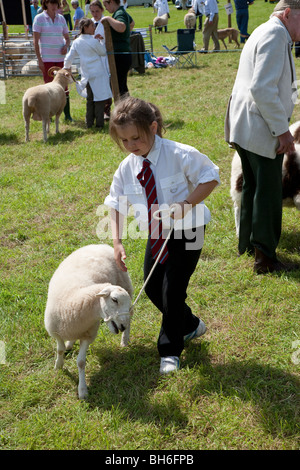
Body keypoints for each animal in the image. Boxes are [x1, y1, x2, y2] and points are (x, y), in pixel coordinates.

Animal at [44, 242, 134, 400]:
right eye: (114, 300)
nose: (122, 326)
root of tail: (100, 245)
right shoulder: (56, 332)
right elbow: (60, 349)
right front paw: (58, 365)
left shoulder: (88, 334)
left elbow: (80, 362)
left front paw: (82, 390)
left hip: (126, 283)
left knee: (131, 314)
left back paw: (125, 339)